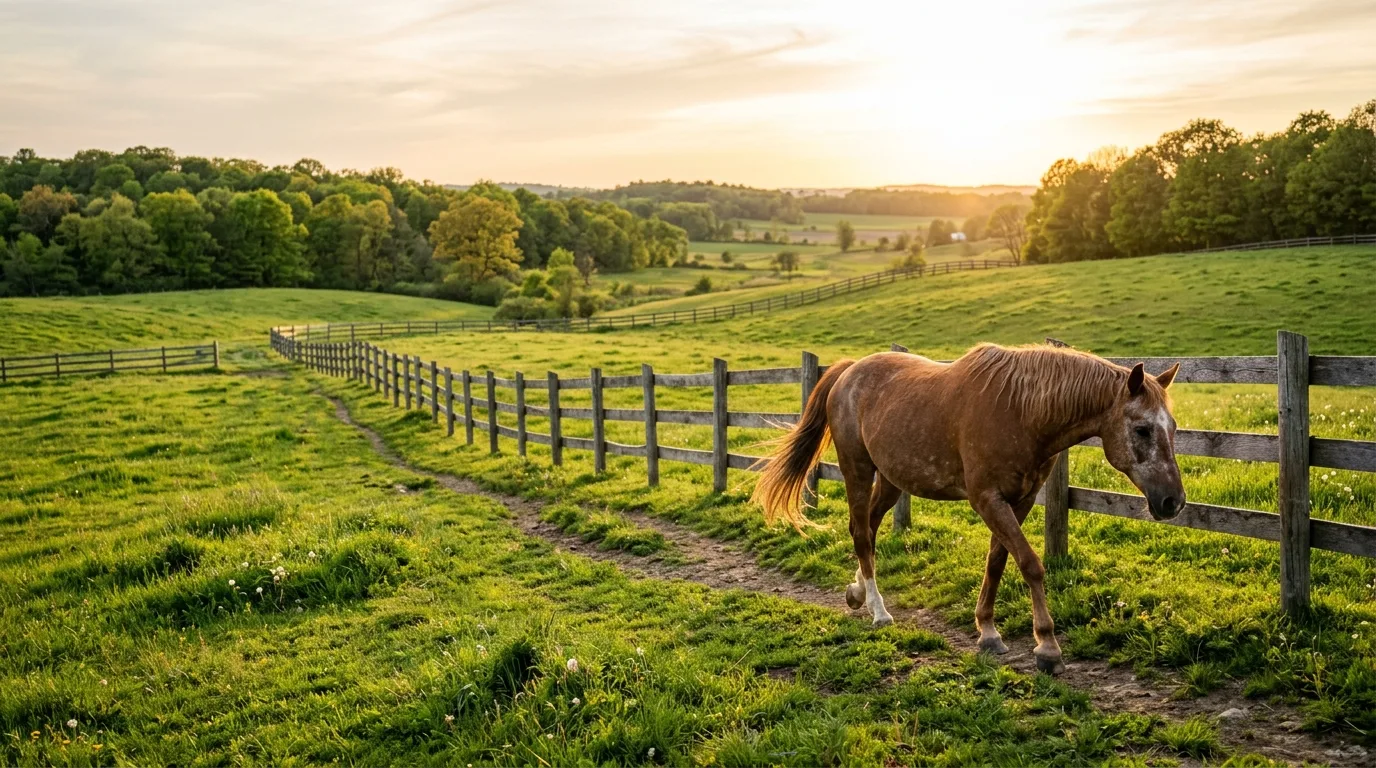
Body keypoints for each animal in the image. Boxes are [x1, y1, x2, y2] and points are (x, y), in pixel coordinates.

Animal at [752, 343, 1184, 675]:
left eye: (1174, 428)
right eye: (1142, 429)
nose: (1173, 502)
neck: (1021, 411)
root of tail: (848, 371)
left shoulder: (1020, 500)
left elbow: (998, 561)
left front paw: (988, 632)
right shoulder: (987, 498)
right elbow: (1030, 564)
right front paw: (1047, 647)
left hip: (891, 480)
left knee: (869, 529)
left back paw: (857, 592)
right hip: (856, 469)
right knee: (860, 532)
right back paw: (879, 611)